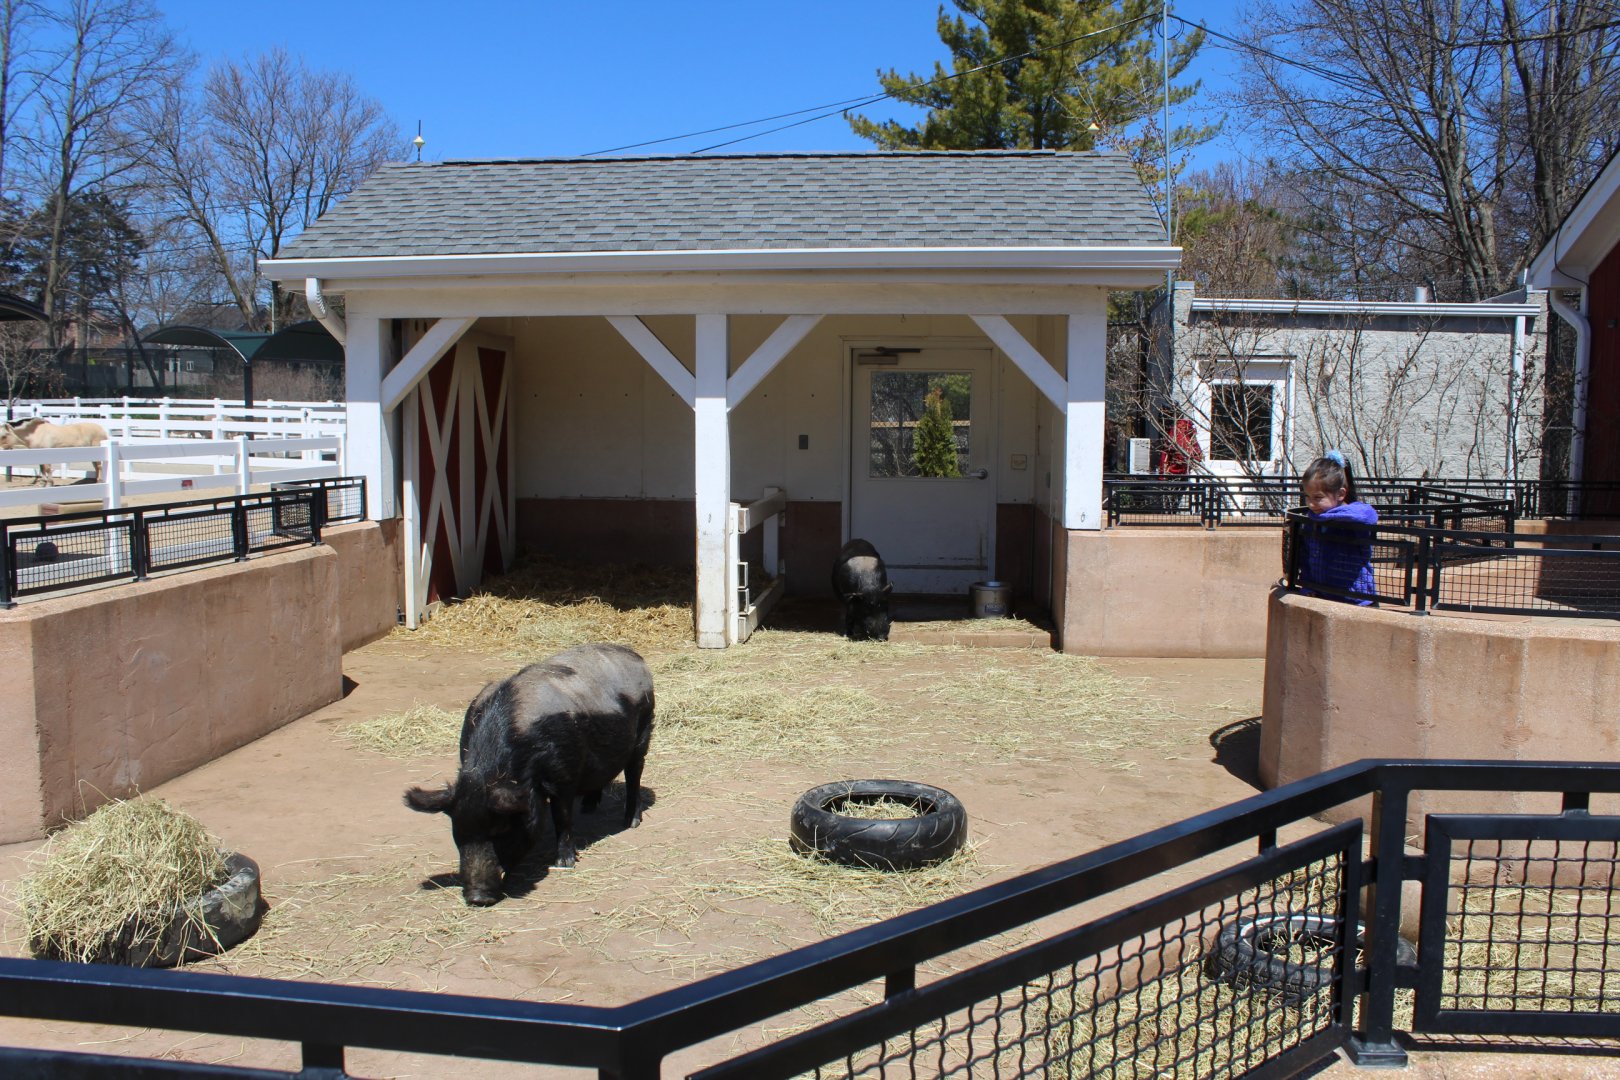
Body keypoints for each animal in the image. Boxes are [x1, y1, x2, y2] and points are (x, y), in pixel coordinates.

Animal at [404, 643, 654, 906]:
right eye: (458, 831)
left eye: (502, 829)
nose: (477, 898)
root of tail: (633, 656)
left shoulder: (564, 776)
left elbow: (562, 817)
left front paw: (564, 864)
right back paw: (588, 807)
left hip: (644, 731)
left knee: (634, 775)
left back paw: (631, 822)